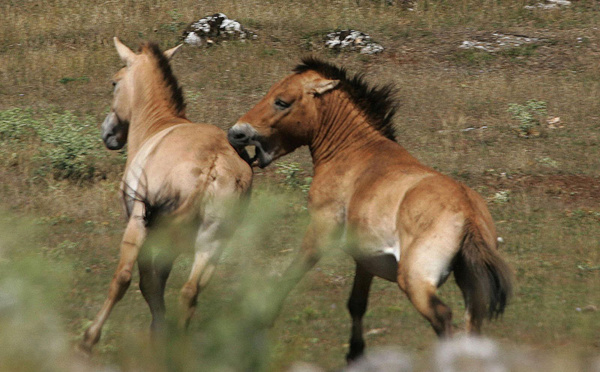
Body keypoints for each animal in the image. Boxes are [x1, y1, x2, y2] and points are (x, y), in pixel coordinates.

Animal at [78, 38, 252, 354]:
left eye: (114, 82)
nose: (107, 132)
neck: (160, 124)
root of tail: (211, 164)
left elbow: (144, 282)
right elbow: (158, 284)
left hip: (141, 224)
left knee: (124, 278)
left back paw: (90, 338)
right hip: (213, 240)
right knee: (191, 291)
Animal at [227, 57, 512, 360]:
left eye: (281, 101)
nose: (236, 133)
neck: (354, 153)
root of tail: (468, 213)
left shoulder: (318, 234)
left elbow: (290, 275)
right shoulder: (366, 260)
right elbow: (356, 304)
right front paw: (355, 354)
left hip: (415, 280)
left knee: (443, 317)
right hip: (471, 288)